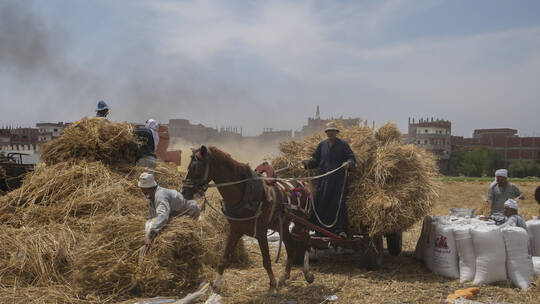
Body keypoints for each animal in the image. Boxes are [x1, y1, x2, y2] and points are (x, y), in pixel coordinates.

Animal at [181, 146, 314, 294]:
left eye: (195, 166)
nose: (184, 191)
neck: (245, 195)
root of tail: (301, 183)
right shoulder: (235, 230)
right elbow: (223, 258)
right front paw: (217, 285)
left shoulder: (261, 232)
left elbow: (266, 260)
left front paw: (272, 284)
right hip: (282, 226)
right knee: (291, 248)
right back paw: (284, 277)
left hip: (300, 223)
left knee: (308, 242)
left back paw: (307, 273)